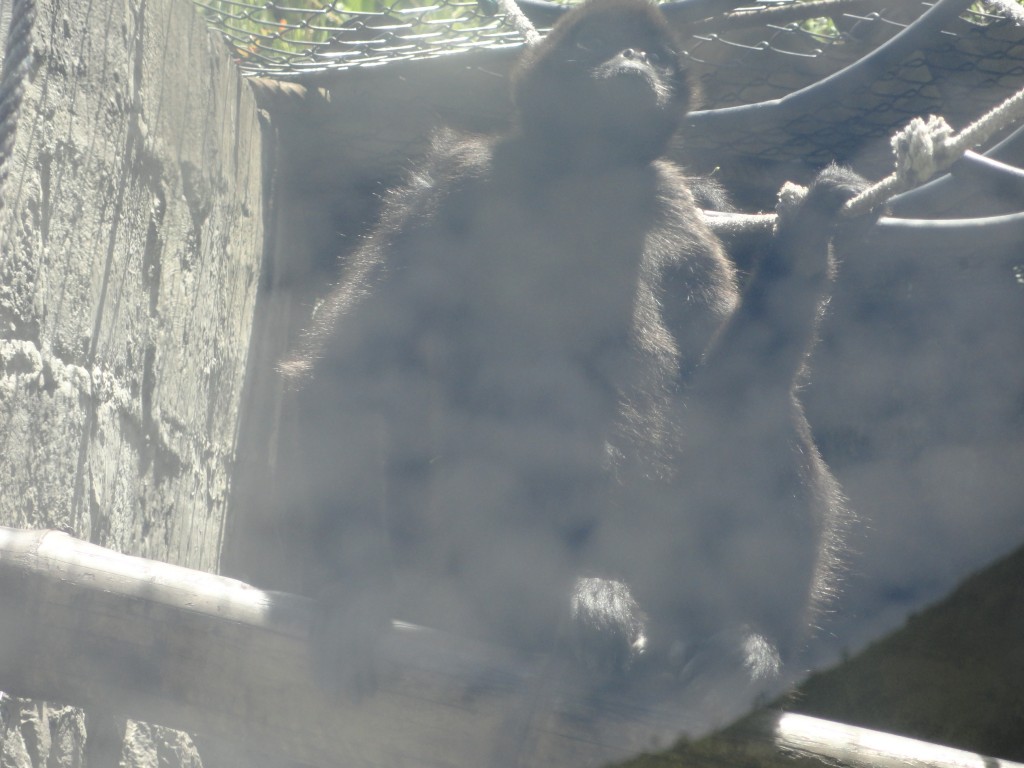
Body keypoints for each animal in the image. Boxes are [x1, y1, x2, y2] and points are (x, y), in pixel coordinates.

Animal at [279, 0, 871, 716]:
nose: (634, 61)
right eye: (597, 42)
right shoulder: (459, 182)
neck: (586, 177)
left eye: (656, 56)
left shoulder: (671, 206)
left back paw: (751, 647)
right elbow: (350, 370)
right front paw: (356, 595)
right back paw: (573, 602)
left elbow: (722, 392)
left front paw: (810, 233)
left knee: (761, 410)